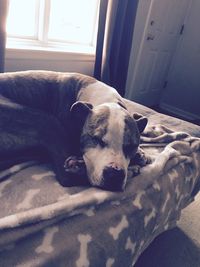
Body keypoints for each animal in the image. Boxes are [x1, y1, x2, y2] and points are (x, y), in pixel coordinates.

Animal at [0, 70, 147, 193]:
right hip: (47, 120)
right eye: (96, 139)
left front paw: (139, 154)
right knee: (67, 178)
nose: (115, 173)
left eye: (132, 146)